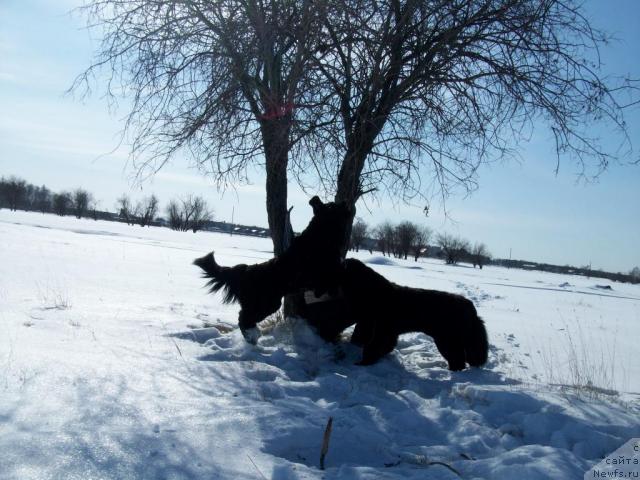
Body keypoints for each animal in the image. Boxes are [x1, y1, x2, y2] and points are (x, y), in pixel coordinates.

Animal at [192, 197, 352, 344]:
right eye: (333, 205)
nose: (345, 202)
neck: (320, 238)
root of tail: (246, 271)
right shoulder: (325, 274)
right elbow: (337, 275)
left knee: (244, 316)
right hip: (266, 303)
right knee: (243, 318)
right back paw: (252, 336)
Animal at [302, 258, 488, 372]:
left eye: (329, 272)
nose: (312, 286)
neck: (370, 291)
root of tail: (471, 308)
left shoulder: (380, 328)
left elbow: (372, 347)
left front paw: (363, 364)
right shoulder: (379, 328)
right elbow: (379, 346)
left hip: (447, 340)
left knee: (458, 360)